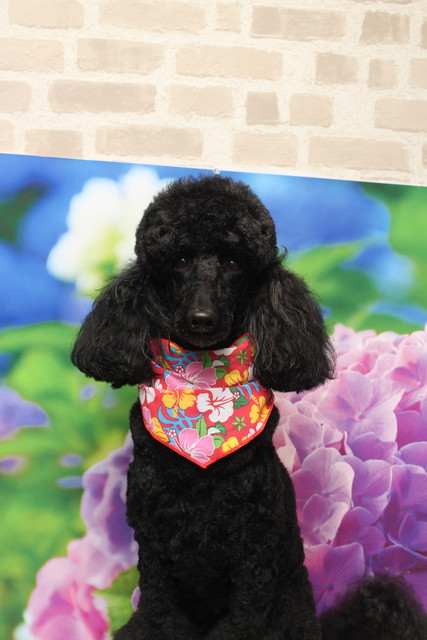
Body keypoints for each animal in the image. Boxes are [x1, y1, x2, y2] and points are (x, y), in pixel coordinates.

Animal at [71, 175, 426, 639]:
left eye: (234, 263)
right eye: (179, 260)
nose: (202, 319)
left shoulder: (252, 555)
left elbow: (242, 617)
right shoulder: (154, 552)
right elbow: (163, 614)